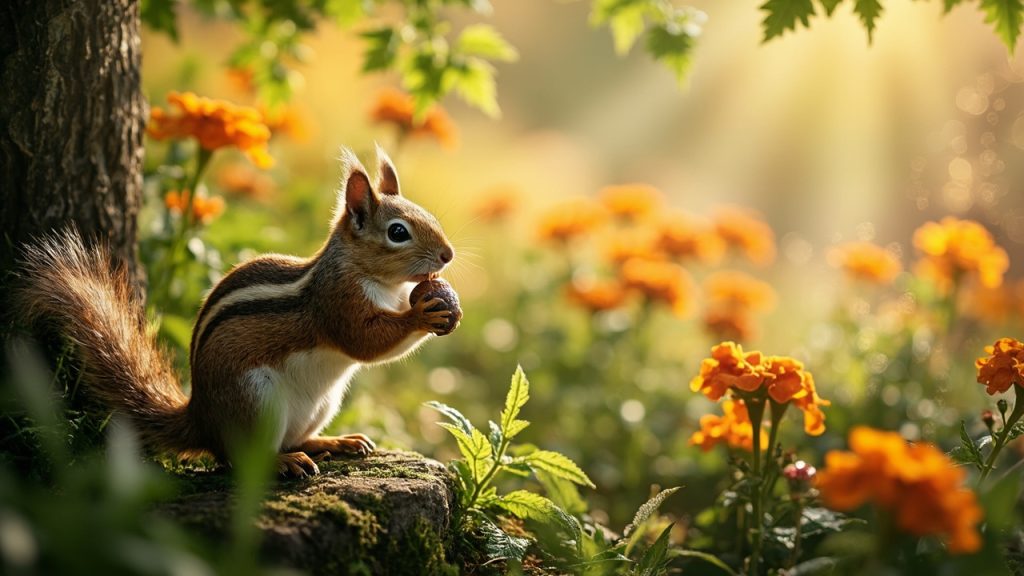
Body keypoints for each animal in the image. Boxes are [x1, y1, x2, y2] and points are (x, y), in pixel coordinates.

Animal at [12, 146, 457, 477]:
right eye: (397, 232)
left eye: (429, 214)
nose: (447, 255)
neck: (381, 283)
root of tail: (201, 419)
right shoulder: (335, 301)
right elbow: (366, 342)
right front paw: (422, 316)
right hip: (254, 402)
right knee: (238, 460)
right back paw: (284, 462)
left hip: (321, 405)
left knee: (295, 438)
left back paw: (335, 442)